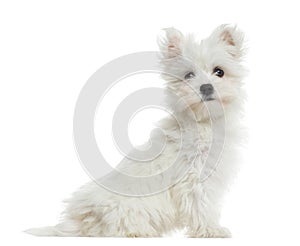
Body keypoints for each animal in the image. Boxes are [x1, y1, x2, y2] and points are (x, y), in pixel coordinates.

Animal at [27, 24, 246, 236]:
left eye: (219, 71)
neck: (203, 123)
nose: (206, 87)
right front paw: (211, 230)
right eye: (189, 75)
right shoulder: (194, 179)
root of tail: (79, 222)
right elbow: (201, 207)